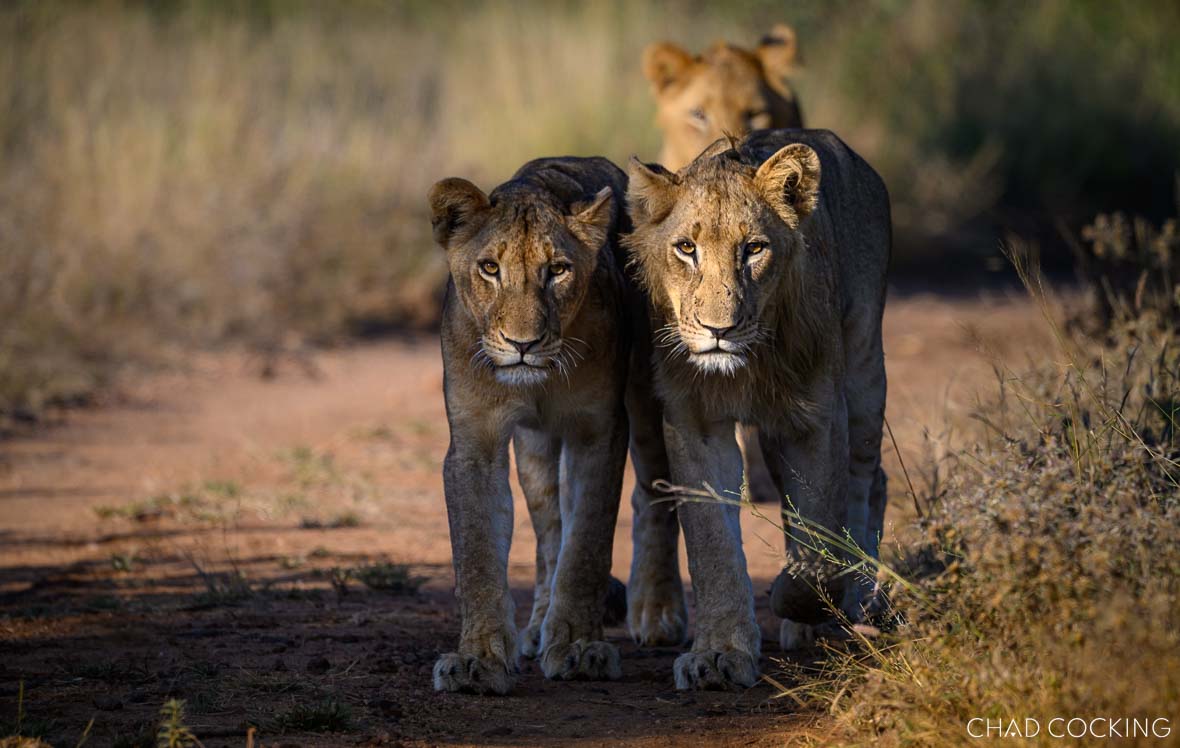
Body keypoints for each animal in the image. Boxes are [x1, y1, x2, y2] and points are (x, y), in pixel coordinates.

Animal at [429, 157, 639, 694]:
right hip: (536, 454)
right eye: (490, 268)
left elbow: (586, 546)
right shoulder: (475, 440)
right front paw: (478, 659)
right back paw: (539, 625)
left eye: (558, 271)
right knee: (547, 535)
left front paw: (580, 646)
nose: (522, 344)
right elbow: (478, 552)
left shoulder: (599, 433)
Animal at [624, 129, 890, 689]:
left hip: (863, 367)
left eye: (754, 249)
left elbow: (820, 532)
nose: (718, 329)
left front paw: (801, 593)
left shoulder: (816, 417)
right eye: (686, 248)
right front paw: (719, 654)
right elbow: (712, 544)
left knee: (868, 480)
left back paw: (852, 601)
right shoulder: (694, 420)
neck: (745, 366)